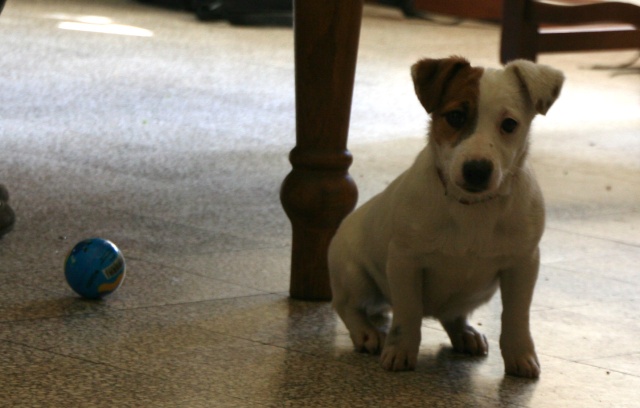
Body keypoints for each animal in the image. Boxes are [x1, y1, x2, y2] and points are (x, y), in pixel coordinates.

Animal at [328, 55, 564, 378]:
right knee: (347, 305)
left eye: (509, 124)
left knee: (453, 315)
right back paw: (367, 333)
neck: (472, 208)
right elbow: (407, 314)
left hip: (476, 293)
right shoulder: (405, 261)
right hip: (355, 275)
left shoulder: (522, 264)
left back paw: (464, 333)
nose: (477, 170)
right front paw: (400, 350)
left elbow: (516, 315)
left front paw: (520, 355)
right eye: (455, 117)